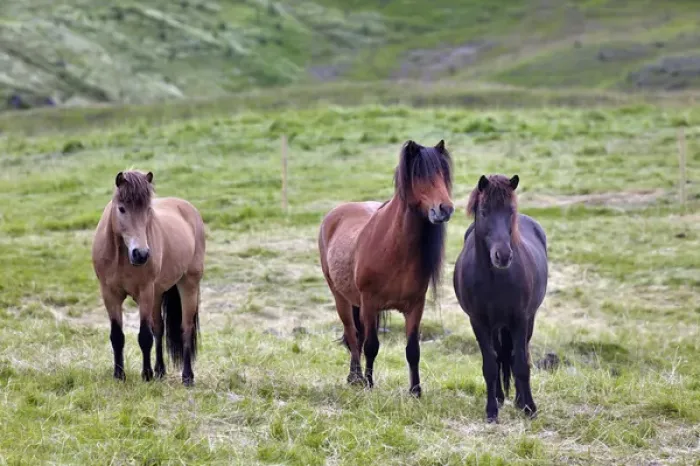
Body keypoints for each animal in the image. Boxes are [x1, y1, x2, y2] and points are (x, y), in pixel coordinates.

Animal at [91, 170, 206, 386]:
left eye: (148, 210)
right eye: (122, 209)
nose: (141, 254)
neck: (122, 256)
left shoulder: (144, 292)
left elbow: (145, 336)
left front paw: (146, 375)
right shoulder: (110, 294)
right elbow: (117, 336)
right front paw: (119, 375)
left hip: (188, 284)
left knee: (186, 328)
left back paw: (187, 377)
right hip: (158, 293)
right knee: (159, 329)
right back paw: (160, 371)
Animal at [318, 139, 454, 397]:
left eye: (444, 174)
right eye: (419, 175)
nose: (445, 209)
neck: (395, 249)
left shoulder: (416, 306)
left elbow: (413, 349)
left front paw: (415, 391)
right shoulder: (370, 303)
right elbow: (371, 345)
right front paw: (370, 385)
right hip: (341, 298)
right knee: (352, 335)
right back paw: (356, 377)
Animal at [453, 174, 548, 422]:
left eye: (511, 211)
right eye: (484, 211)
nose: (503, 256)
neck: (495, 279)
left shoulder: (520, 319)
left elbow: (521, 362)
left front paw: (529, 408)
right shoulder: (478, 322)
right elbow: (490, 365)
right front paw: (491, 411)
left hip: (527, 320)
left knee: (516, 355)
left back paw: (519, 400)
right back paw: (499, 397)